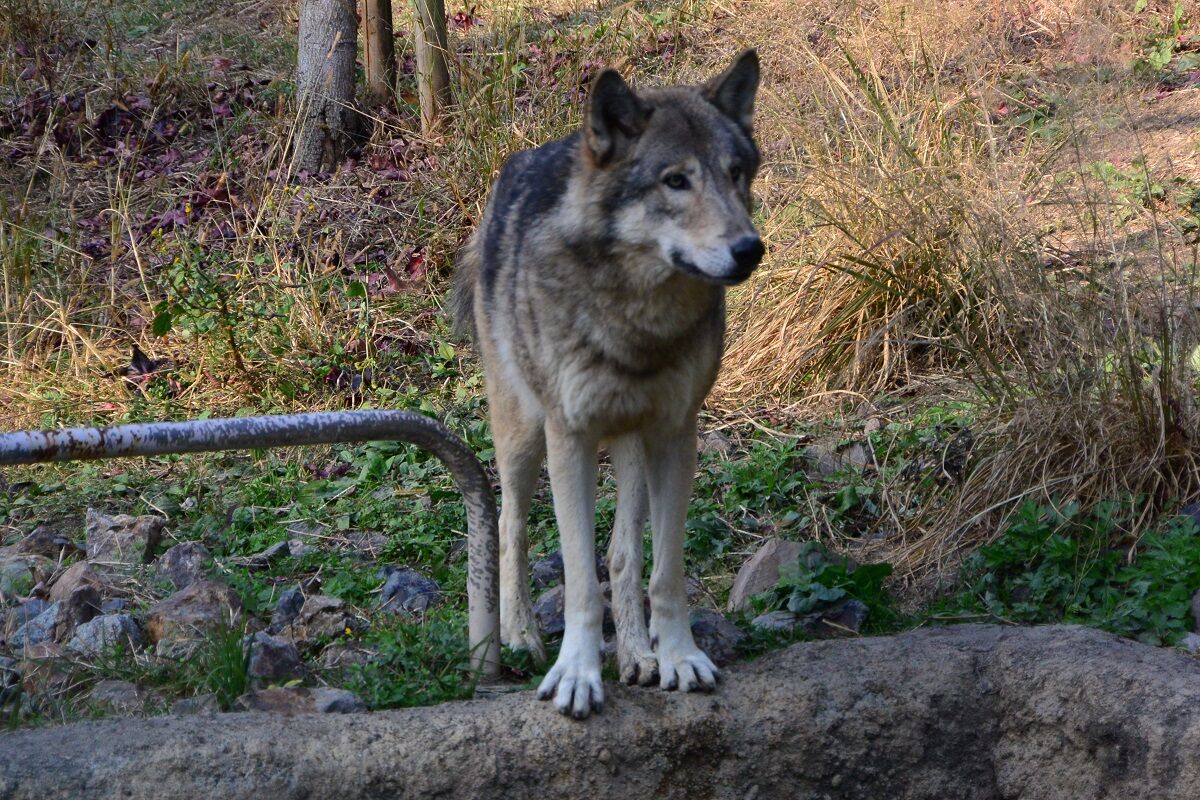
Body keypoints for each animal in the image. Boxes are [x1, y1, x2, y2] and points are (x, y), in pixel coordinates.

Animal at [453, 48, 763, 719]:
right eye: (676, 181)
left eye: (736, 174)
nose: (750, 249)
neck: (637, 323)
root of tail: (527, 154)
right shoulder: (569, 437)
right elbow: (577, 581)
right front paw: (576, 674)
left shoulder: (675, 434)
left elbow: (661, 570)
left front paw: (676, 657)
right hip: (523, 433)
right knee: (510, 522)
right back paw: (520, 634)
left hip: (631, 443)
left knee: (623, 553)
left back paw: (638, 656)